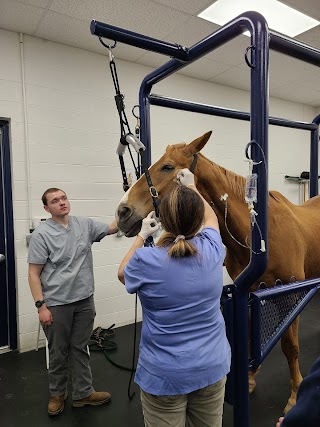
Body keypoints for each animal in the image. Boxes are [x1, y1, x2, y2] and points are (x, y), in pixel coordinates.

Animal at [116, 131, 320, 414]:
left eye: (168, 166)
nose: (123, 212)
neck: (259, 235)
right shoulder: (248, 292)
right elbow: (247, 338)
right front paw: (249, 380)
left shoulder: (289, 296)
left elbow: (290, 347)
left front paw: (293, 396)